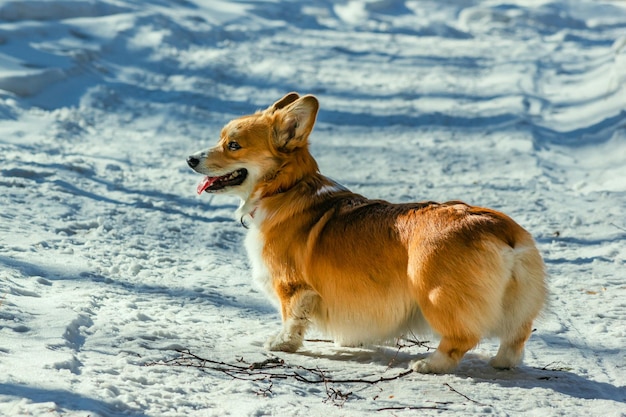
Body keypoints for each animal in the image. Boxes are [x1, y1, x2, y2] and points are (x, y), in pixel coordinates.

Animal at [186, 92, 544, 372]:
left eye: (233, 145)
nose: (190, 159)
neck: (285, 187)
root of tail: (500, 231)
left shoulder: (292, 285)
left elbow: (292, 319)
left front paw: (281, 344)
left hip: (434, 294)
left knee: (461, 338)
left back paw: (430, 364)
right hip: (518, 302)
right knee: (516, 337)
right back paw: (501, 363)